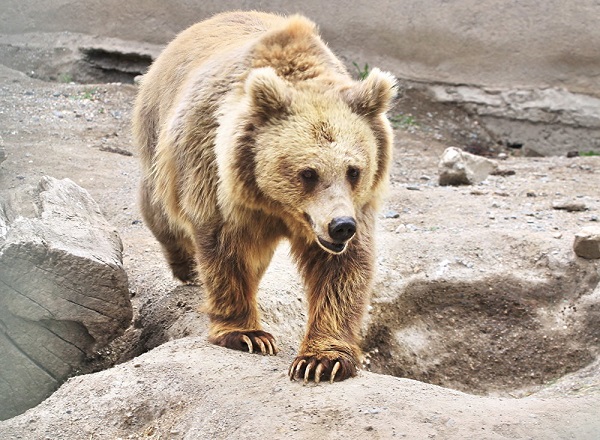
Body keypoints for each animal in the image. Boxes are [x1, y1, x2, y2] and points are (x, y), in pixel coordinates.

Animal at [135, 9, 398, 382]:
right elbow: (225, 249)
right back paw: (186, 265)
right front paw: (246, 335)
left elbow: (342, 270)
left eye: (354, 170)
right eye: (308, 173)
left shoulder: (355, 207)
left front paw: (322, 360)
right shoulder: (217, 178)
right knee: (160, 207)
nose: (340, 226)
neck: (277, 206)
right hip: (160, 134)